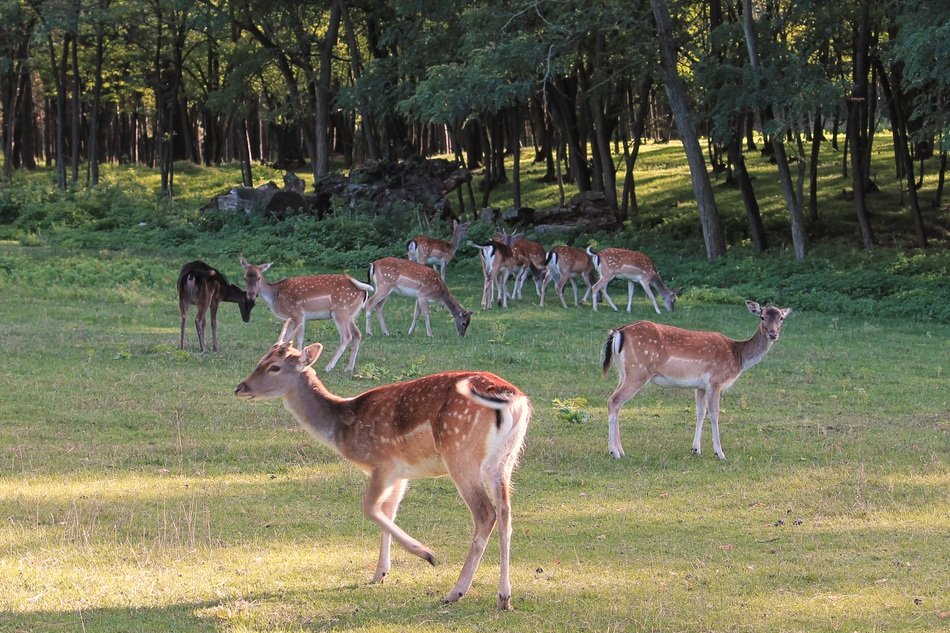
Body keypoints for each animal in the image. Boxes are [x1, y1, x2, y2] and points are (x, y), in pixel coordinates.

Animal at [234, 320, 532, 609]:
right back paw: (504, 597)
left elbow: (370, 507)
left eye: (274, 367)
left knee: (485, 513)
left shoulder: (384, 462)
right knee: (505, 513)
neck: (343, 426)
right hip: (505, 460)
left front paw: (426, 554)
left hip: (461, 453)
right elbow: (389, 511)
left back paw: (456, 591)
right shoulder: (401, 473)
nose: (240, 388)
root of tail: (515, 399)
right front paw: (380, 573)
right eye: (261, 359)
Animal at [240, 257, 374, 373]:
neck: (275, 297)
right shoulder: (290, 318)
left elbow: (298, 340)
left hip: (341, 311)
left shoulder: (298, 313)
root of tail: (364, 289)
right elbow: (286, 339)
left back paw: (328, 368)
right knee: (357, 334)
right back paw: (349, 368)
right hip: (351, 314)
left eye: (258, 278)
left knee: (347, 336)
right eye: (245, 277)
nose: (250, 295)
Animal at [601, 301, 792, 460]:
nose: (773, 334)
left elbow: (700, 412)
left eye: (781, 318)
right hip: (638, 372)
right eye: (762, 316)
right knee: (614, 401)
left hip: (623, 373)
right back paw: (614, 452)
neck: (738, 355)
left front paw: (696, 449)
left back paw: (621, 450)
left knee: (617, 403)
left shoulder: (700, 386)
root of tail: (618, 332)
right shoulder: (715, 381)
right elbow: (715, 414)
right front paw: (720, 453)